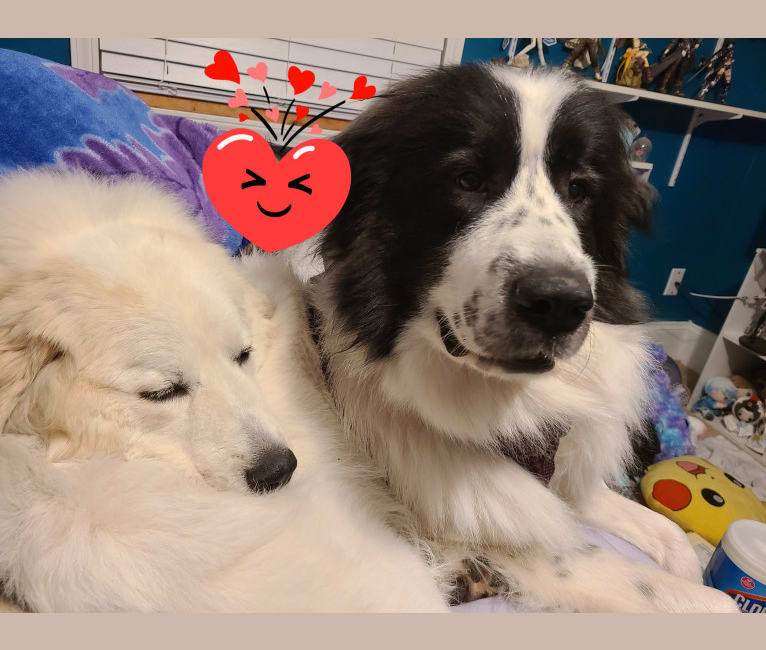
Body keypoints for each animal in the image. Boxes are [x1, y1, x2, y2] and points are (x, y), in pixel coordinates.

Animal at [294, 64, 740, 612]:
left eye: (579, 189)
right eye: (467, 180)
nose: (560, 304)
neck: (511, 405)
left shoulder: (565, 486)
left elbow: (674, 541)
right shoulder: (535, 545)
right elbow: (698, 598)